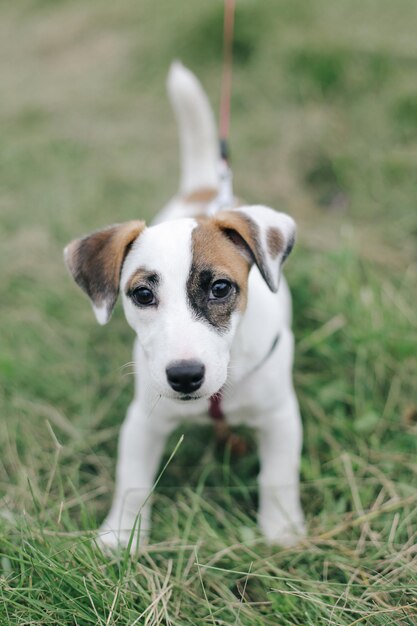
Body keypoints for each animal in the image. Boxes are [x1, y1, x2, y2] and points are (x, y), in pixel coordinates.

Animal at [66, 62, 306, 544]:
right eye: (142, 294)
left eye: (220, 288)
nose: (184, 376)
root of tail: (205, 190)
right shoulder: (142, 421)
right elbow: (132, 481)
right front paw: (120, 538)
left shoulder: (280, 416)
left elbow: (277, 477)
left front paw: (282, 532)